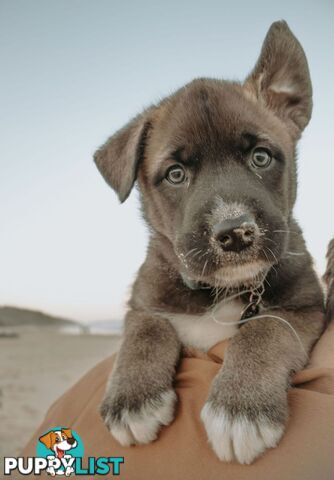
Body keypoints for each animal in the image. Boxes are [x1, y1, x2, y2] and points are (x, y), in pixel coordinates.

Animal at [93, 20, 326, 464]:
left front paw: (240, 409)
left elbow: (265, 328)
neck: (219, 291)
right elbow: (145, 329)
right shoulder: (143, 299)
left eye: (260, 157)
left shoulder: (305, 305)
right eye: (176, 174)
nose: (235, 233)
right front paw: (133, 400)